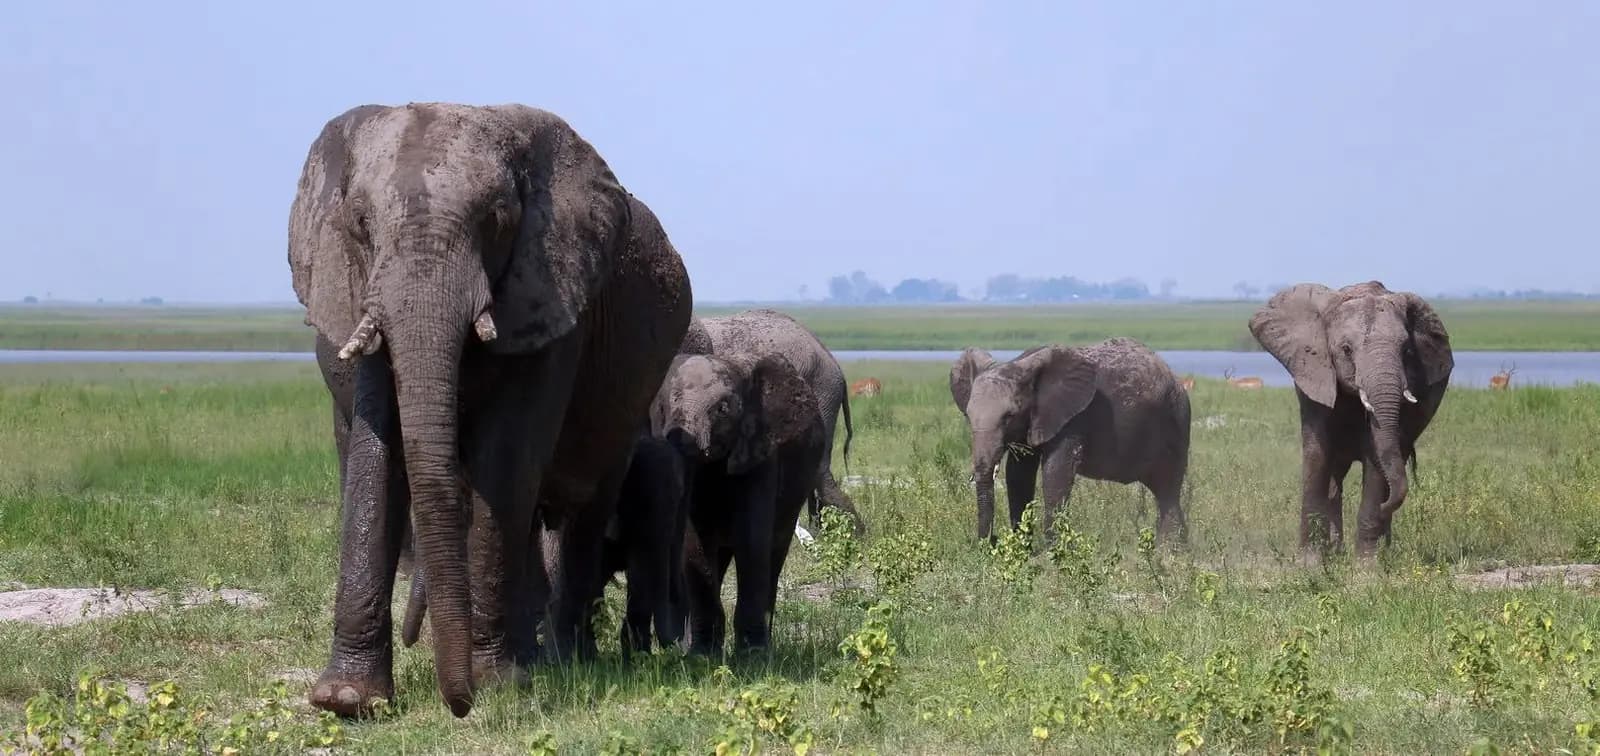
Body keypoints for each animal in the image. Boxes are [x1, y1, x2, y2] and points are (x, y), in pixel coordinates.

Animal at [288, 102, 691, 718]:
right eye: (358, 222)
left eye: (498, 220)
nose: (459, 704)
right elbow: (376, 453)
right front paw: (348, 701)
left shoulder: (549, 293)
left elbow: (505, 460)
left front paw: (497, 688)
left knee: (584, 504)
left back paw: (566, 662)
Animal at [651, 352, 824, 653]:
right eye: (666, 406)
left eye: (722, 409)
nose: (673, 645)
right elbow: (694, 544)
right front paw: (702, 655)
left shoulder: (760, 450)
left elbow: (752, 539)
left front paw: (753, 655)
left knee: (774, 553)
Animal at [949, 338, 1191, 544]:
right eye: (968, 417)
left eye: (1009, 416)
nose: (991, 541)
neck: (1020, 365)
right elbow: (1018, 475)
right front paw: (1022, 547)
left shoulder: (1072, 417)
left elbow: (1056, 472)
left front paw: (1053, 551)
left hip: (1176, 422)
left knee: (1168, 489)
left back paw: (1169, 552)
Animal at [1248, 281, 1452, 561]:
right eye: (1346, 349)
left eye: (1407, 351)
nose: (1386, 508)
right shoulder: (1314, 374)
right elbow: (1317, 453)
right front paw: (1311, 562)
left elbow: (1376, 458)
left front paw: (1368, 564)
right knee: (1335, 479)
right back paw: (1335, 551)